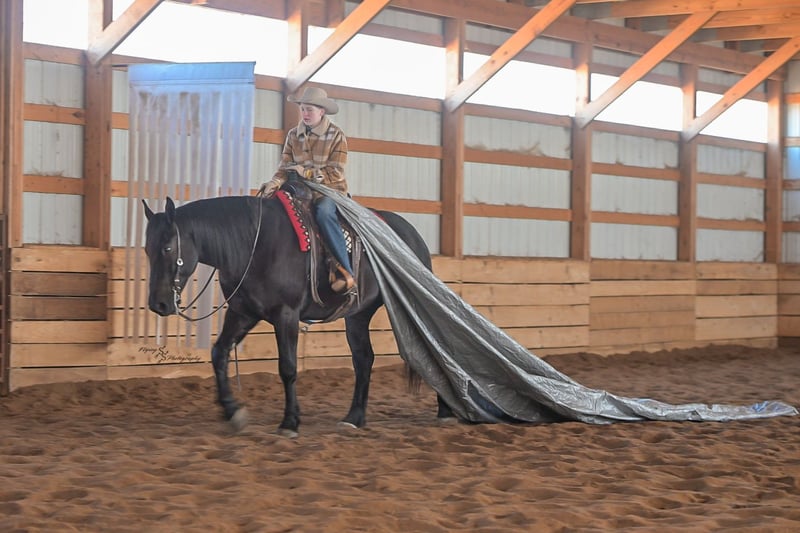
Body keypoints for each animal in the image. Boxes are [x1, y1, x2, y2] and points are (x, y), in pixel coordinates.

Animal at [142, 192, 453, 437]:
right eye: (146, 249)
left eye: (168, 247)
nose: (158, 304)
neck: (253, 245)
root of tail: (412, 234)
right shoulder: (243, 312)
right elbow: (219, 354)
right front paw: (233, 412)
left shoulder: (286, 315)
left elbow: (288, 368)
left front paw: (290, 421)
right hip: (357, 315)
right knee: (364, 359)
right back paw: (354, 417)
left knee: (434, 349)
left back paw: (446, 411)